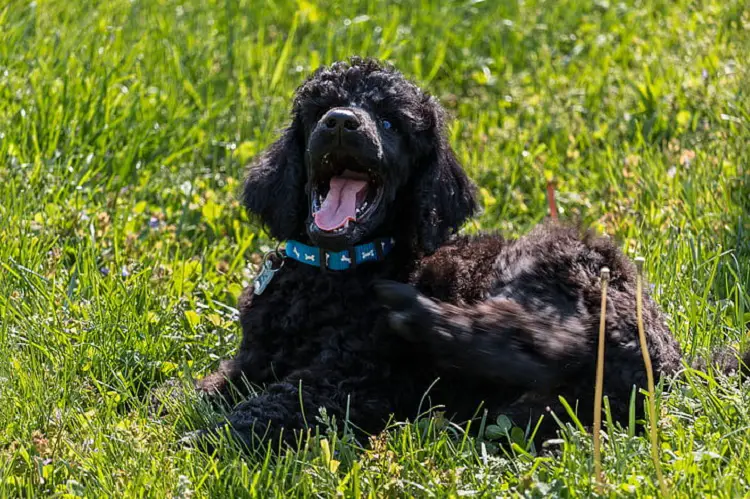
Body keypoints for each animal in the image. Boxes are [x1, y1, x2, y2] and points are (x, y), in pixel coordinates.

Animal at [185, 56, 748, 452]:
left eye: (389, 124)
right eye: (320, 111)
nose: (342, 123)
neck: (332, 267)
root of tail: (672, 361)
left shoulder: (351, 377)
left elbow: (280, 401)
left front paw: (203, 438)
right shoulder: (254, 360)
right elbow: (205, 388)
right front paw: (178, 408)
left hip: (550, 265)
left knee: (540, 341)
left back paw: (421, 322)